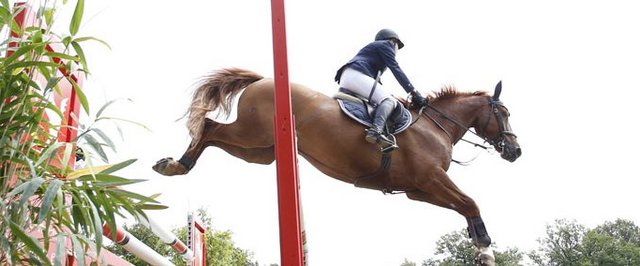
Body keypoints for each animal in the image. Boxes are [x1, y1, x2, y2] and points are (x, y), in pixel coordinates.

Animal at [152, 67, 524, 264]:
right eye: (504, 113)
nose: (516, 151)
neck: (437, 125)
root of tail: (260, 80)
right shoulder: (431, 178)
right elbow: (470, 202)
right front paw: (486, 249)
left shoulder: (418, 189)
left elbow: (463, 206)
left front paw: (479, 245)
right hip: (251, 134)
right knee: (209, 128)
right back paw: (177, 165)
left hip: (259, 150)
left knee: (214, 136)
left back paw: (174, 164)